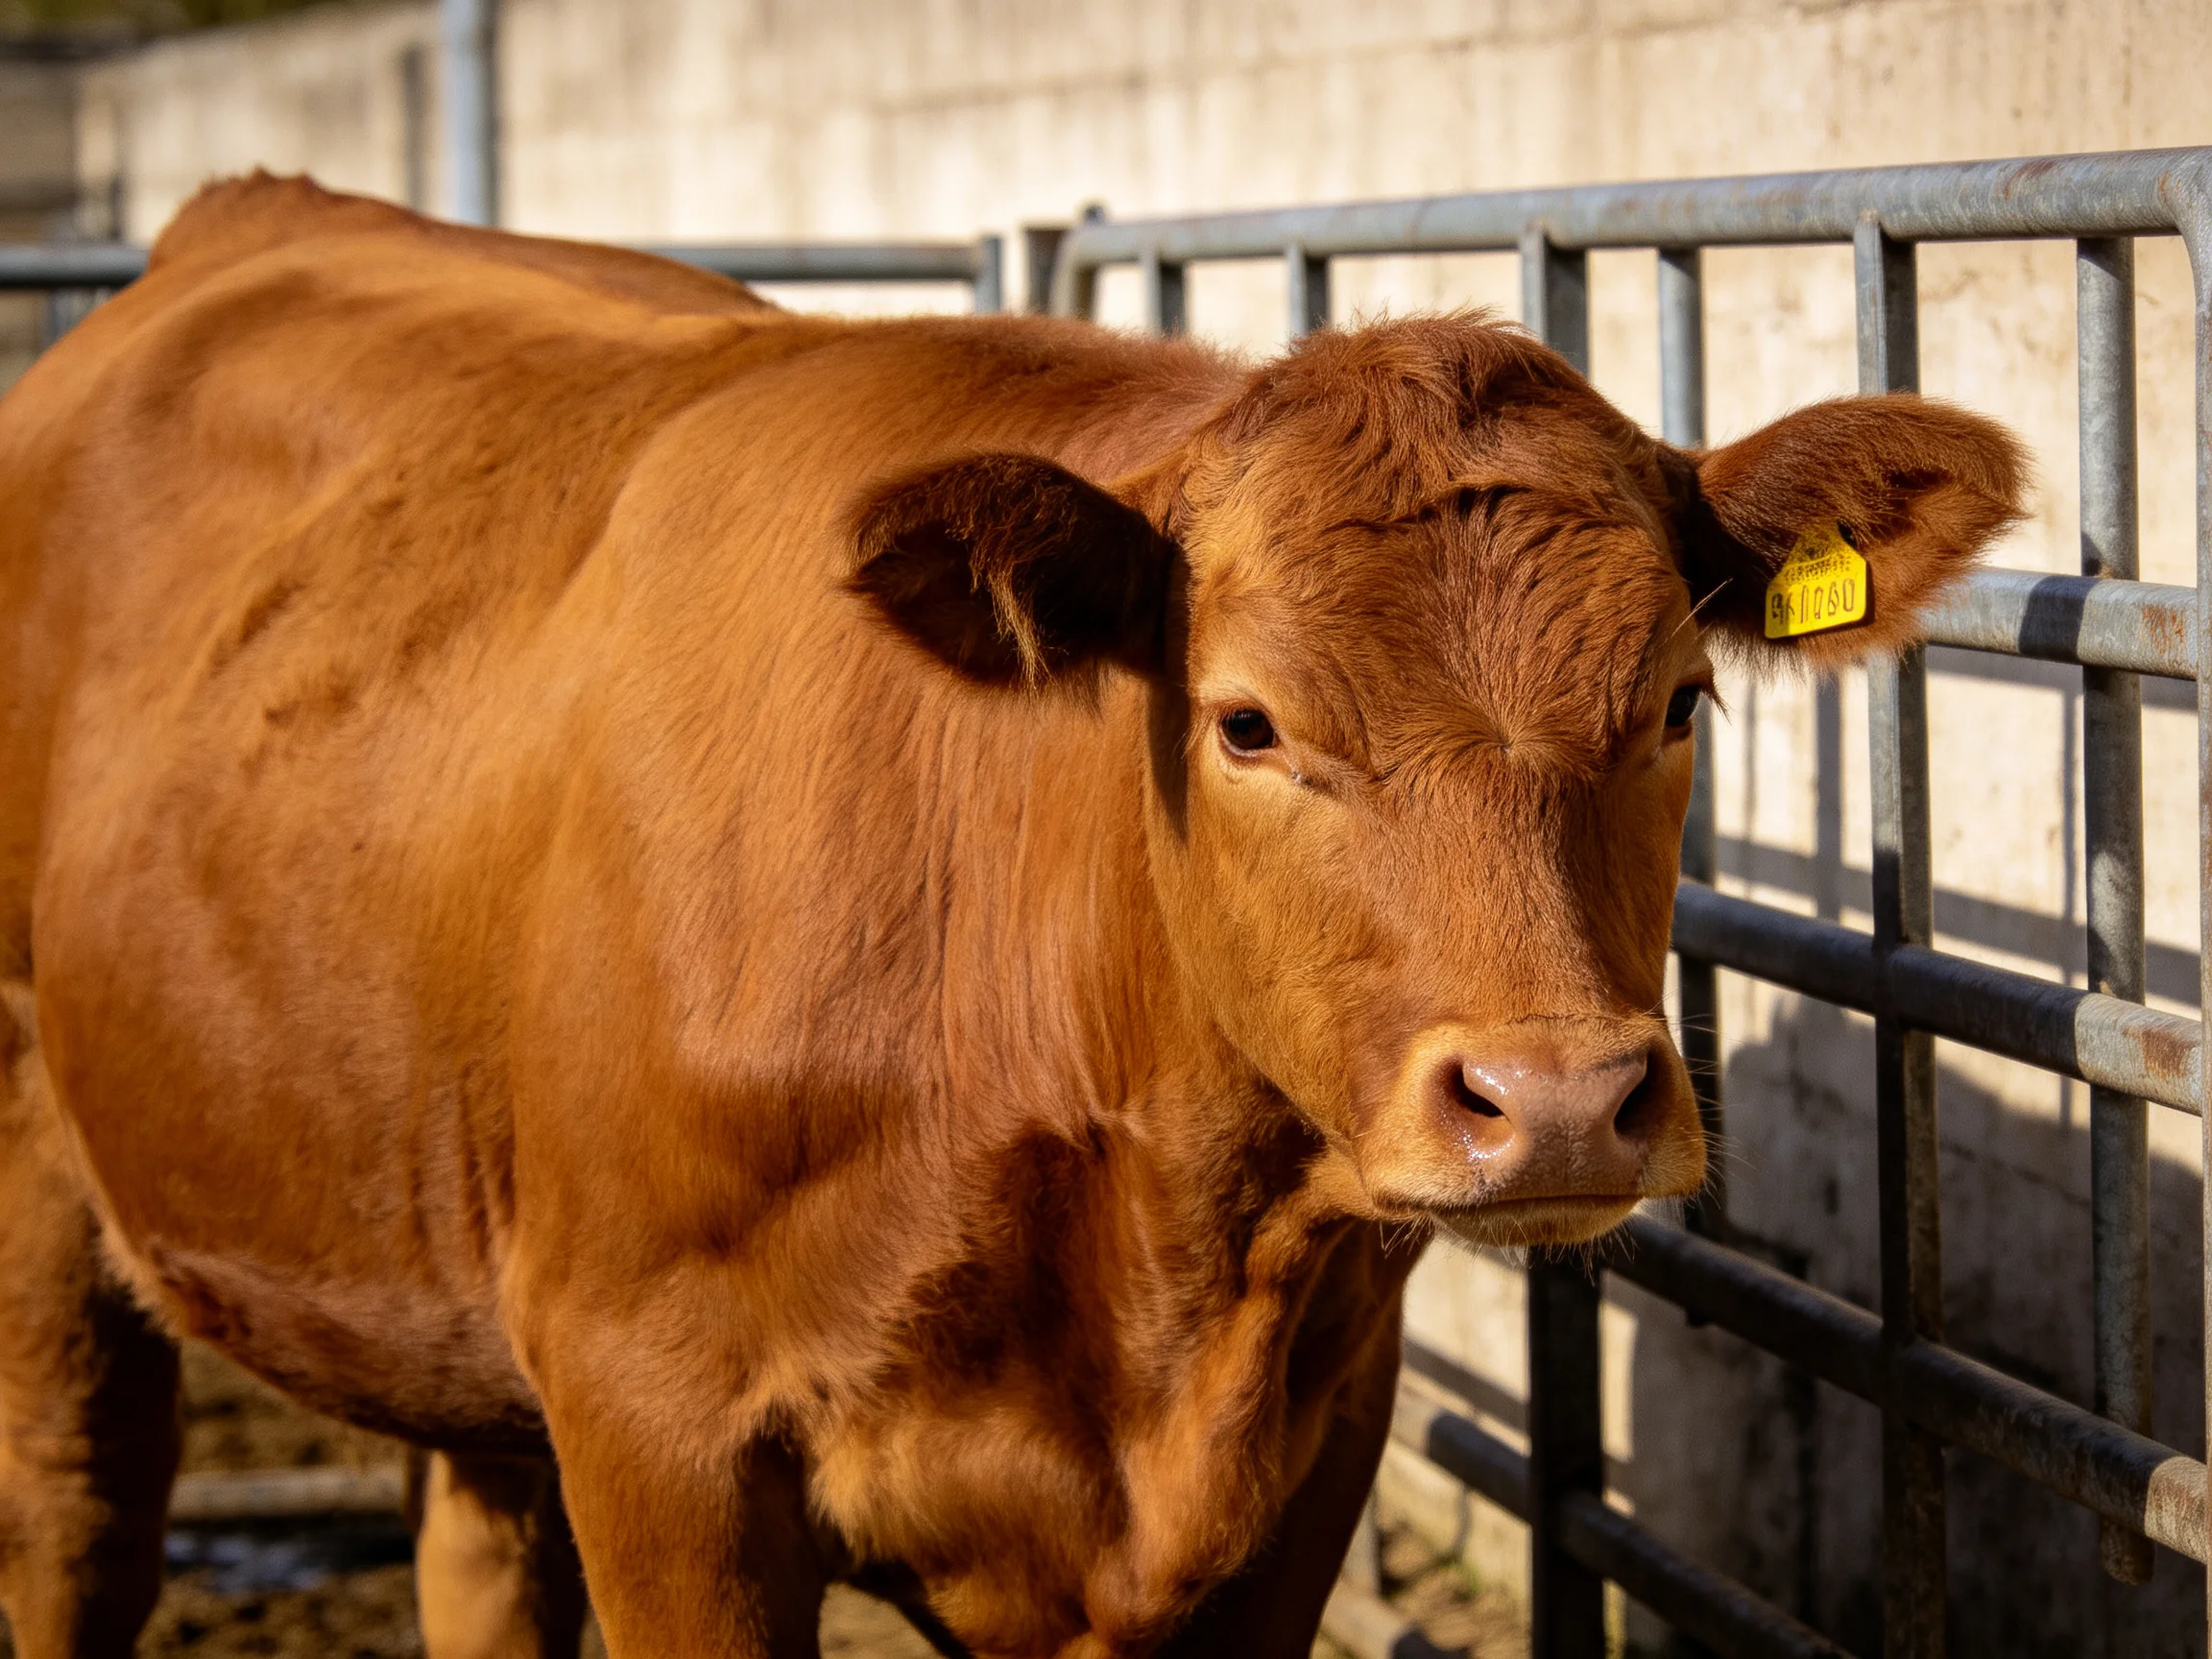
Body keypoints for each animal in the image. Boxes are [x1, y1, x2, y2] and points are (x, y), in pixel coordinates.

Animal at [0, 176, 2022, 1658]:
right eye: (1244, 721)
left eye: (1677, 698)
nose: (1554, 1103)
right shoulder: (658, 1427)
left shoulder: (1302, 1458)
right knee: (76, 1516)